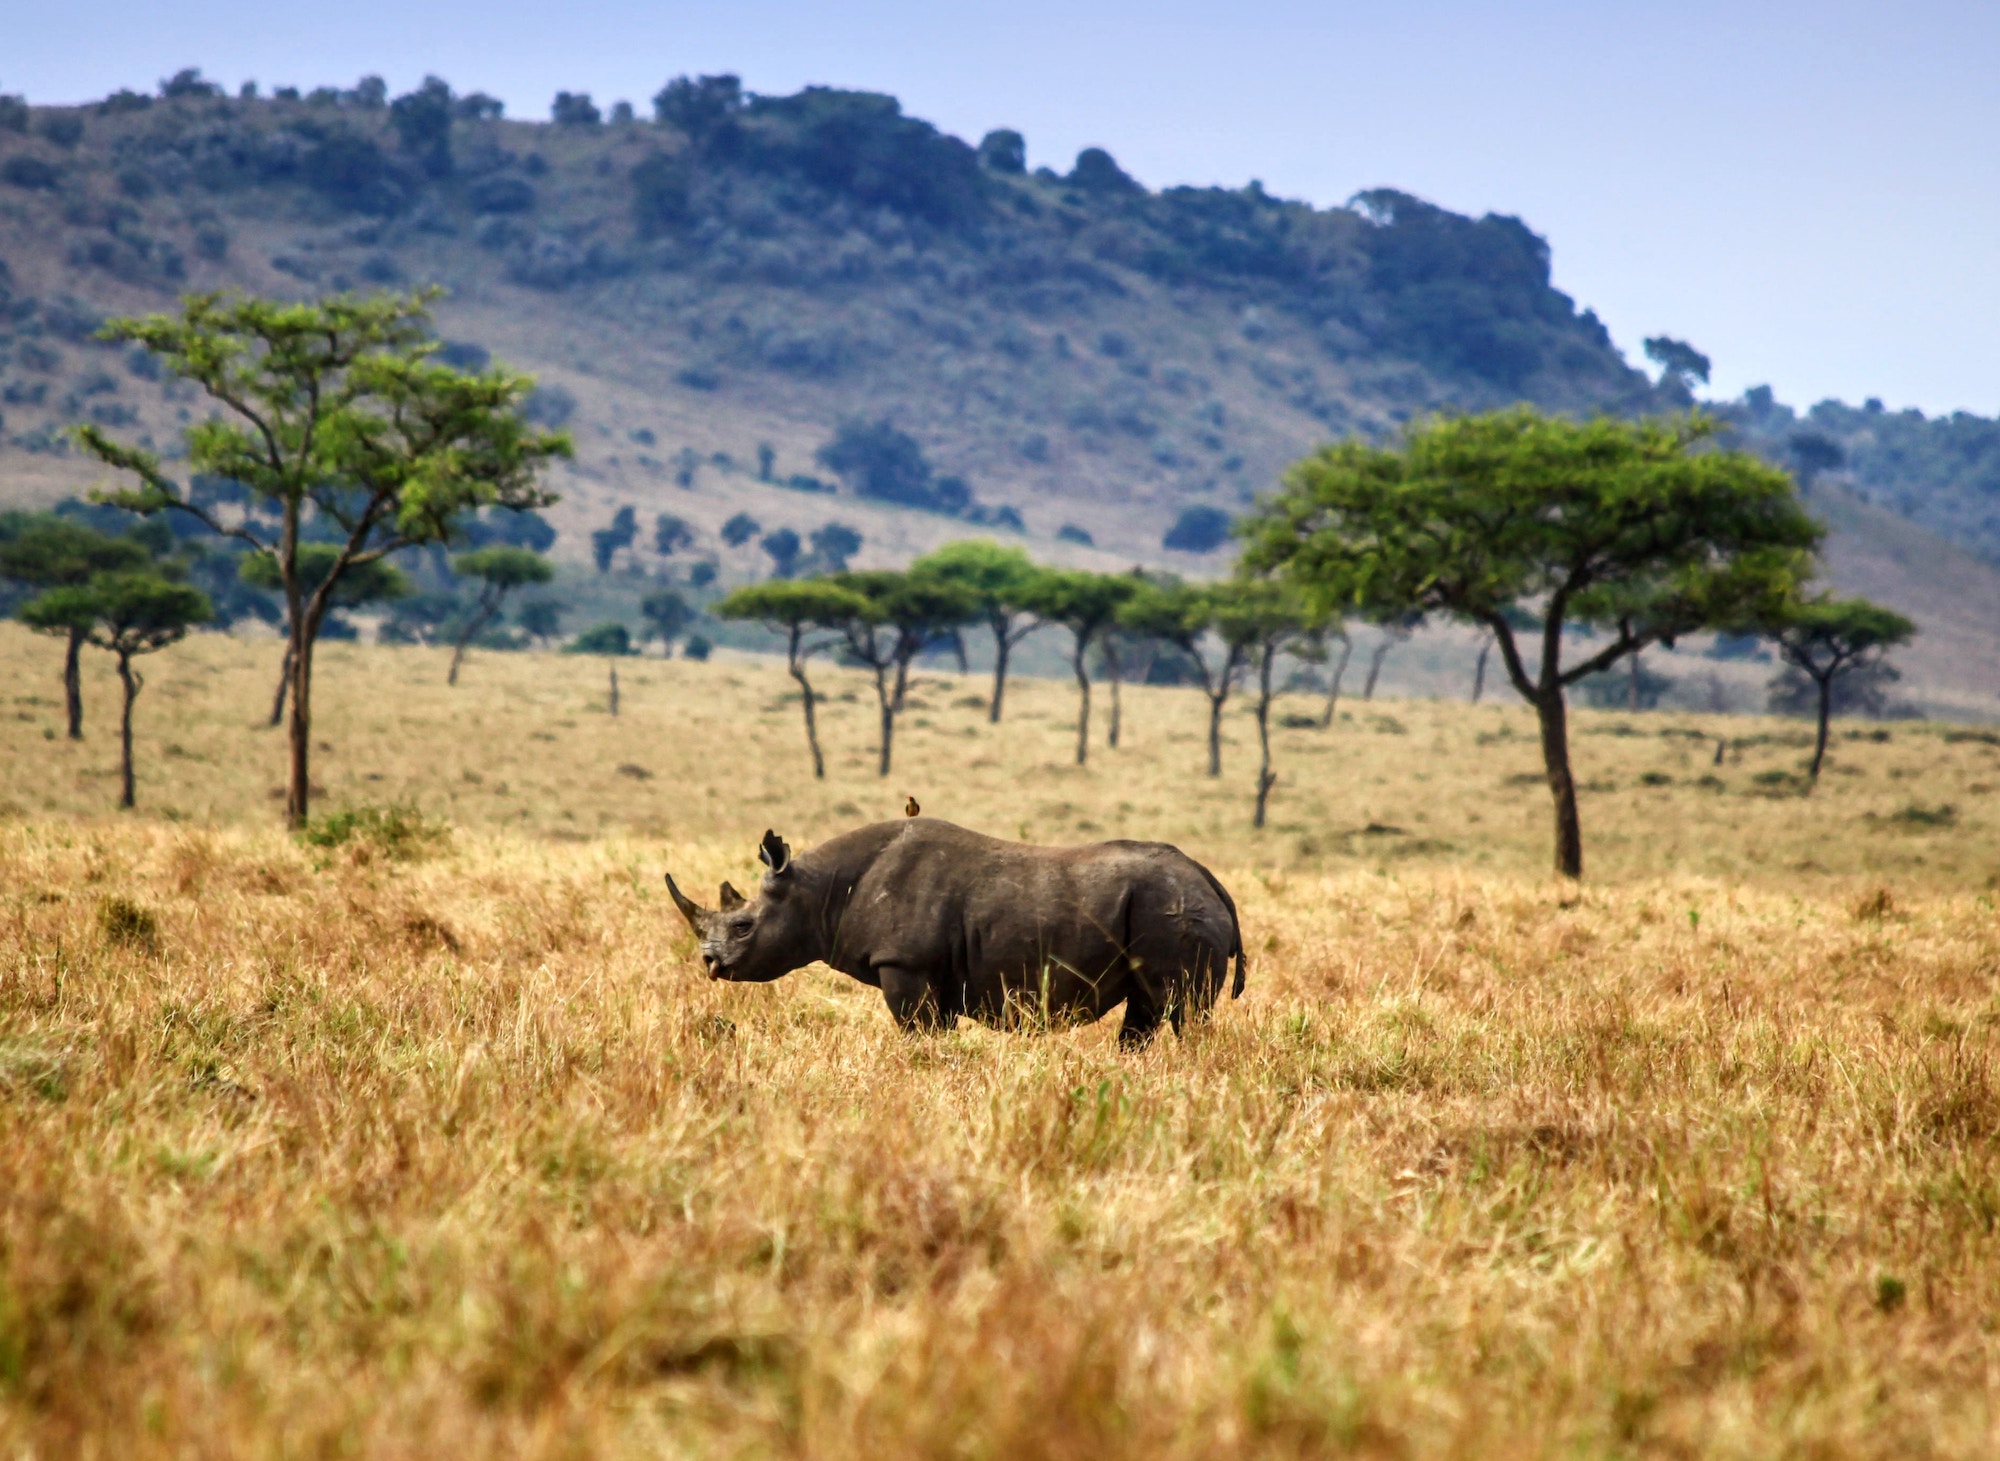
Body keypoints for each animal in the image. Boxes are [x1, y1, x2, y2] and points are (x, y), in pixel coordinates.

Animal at [664, 812, 1240, 1040]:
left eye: (743, 926)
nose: (709, 963)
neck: (815, 890)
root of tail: (1209, 880)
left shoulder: (905, 963)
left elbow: (915, 1031)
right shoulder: (933, 975)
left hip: (1174, 909)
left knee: (1183, 1009)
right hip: (1166, 904)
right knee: (1147, 1008)